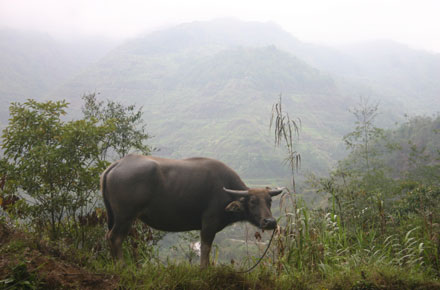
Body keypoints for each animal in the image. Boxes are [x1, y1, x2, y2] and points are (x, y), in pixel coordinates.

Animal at [101, 154, 284, 268]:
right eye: (253, 201)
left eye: (270, 201)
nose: (270, 222)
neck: (226, 192)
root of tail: (116, 165)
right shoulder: (209, 224)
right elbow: (206, 247)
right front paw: (204, 268)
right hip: (125, 217)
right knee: (115, 237)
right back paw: (121, 266)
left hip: (115, 217)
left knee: (109, 236)